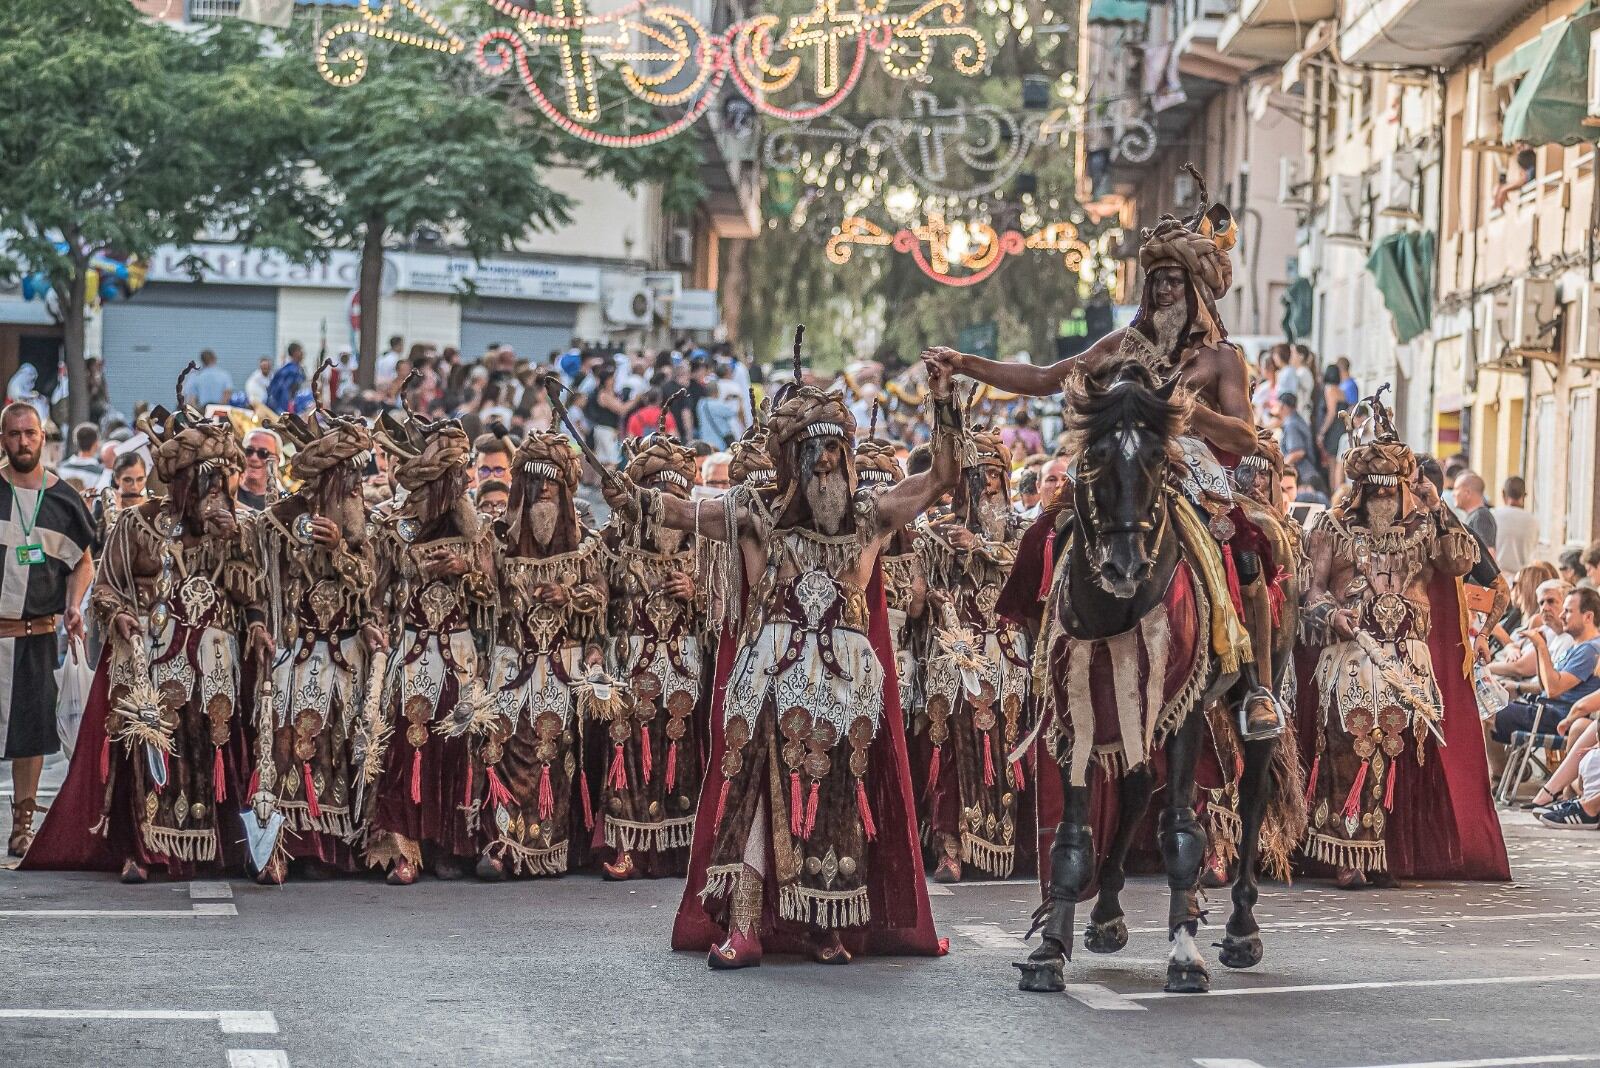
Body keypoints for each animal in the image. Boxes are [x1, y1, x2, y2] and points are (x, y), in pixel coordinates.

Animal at [1017, 358, 1280, 991]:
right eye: (1093, 457)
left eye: (1160, 459)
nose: (1125, 565)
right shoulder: (1079, 713)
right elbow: (1073, 839)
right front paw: (1050, 950)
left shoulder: (1183, 711)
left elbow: (1181, 831)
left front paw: (1185, 955)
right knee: (1138, 789)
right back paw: (1108, 914)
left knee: (1253, 792)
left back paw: (1241, 929)